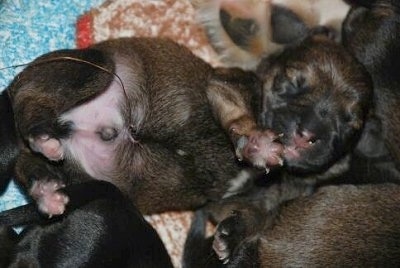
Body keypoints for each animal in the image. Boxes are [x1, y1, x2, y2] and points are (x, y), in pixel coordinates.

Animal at [5, 37, 282, 217]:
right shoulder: (222, 84)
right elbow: (238, 116)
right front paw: (257, 144)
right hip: (95, 67)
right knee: (30, 103)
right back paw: (43, 138)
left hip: (78, 175)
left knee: (26, 165)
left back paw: (46, 191)